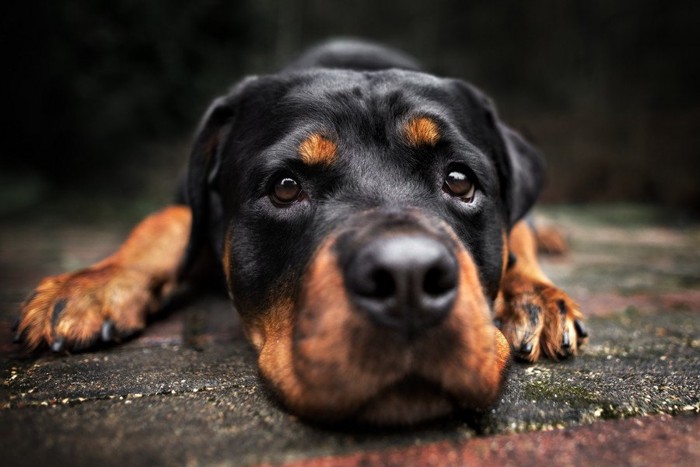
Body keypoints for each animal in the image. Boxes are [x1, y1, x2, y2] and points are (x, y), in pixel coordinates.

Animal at [15, 40, 584, 426]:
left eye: (460, 180)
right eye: (286, 187)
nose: (407, 279)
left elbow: (516, 236)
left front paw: (533, 296)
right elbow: (168, 222)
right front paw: (91, 286)